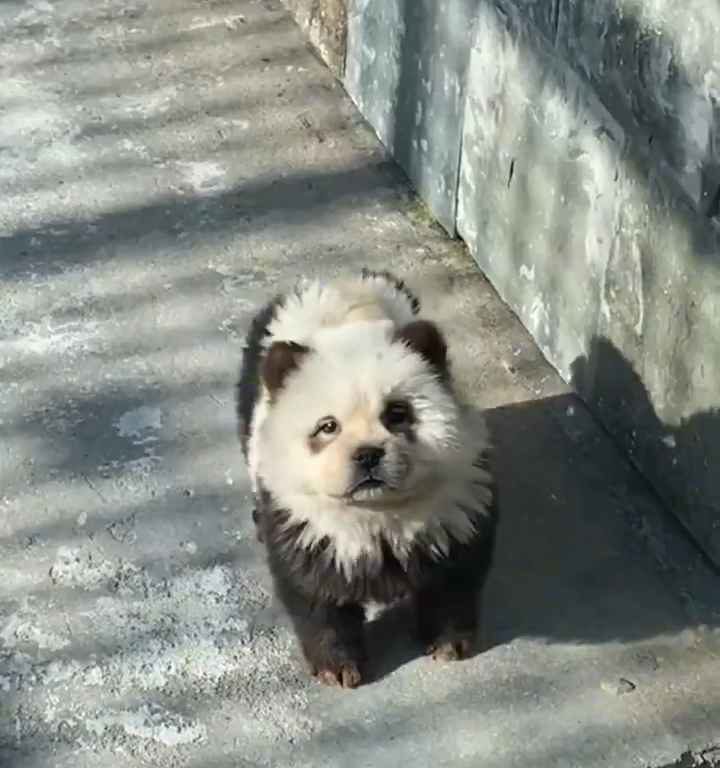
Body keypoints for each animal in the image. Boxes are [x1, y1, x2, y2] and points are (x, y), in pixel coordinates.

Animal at [236, 270, 496, 688]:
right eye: (327, 426)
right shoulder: (305, 522)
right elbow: (315, 594)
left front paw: (447, 642)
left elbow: (453, 575)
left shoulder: (456, 502)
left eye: (397, 413)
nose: (368, 455)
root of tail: (338, 283)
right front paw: (337, 666)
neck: (376, 513)